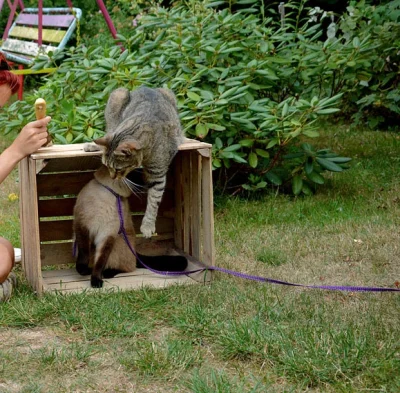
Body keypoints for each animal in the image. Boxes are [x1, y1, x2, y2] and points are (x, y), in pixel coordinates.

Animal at [85, 86, 185, 237]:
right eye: (107, 166)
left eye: (118, 169)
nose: (112, 177)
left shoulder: (157, 174)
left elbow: (154, 201)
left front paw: (148, 226)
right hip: (118, 95)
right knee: (109, 131)